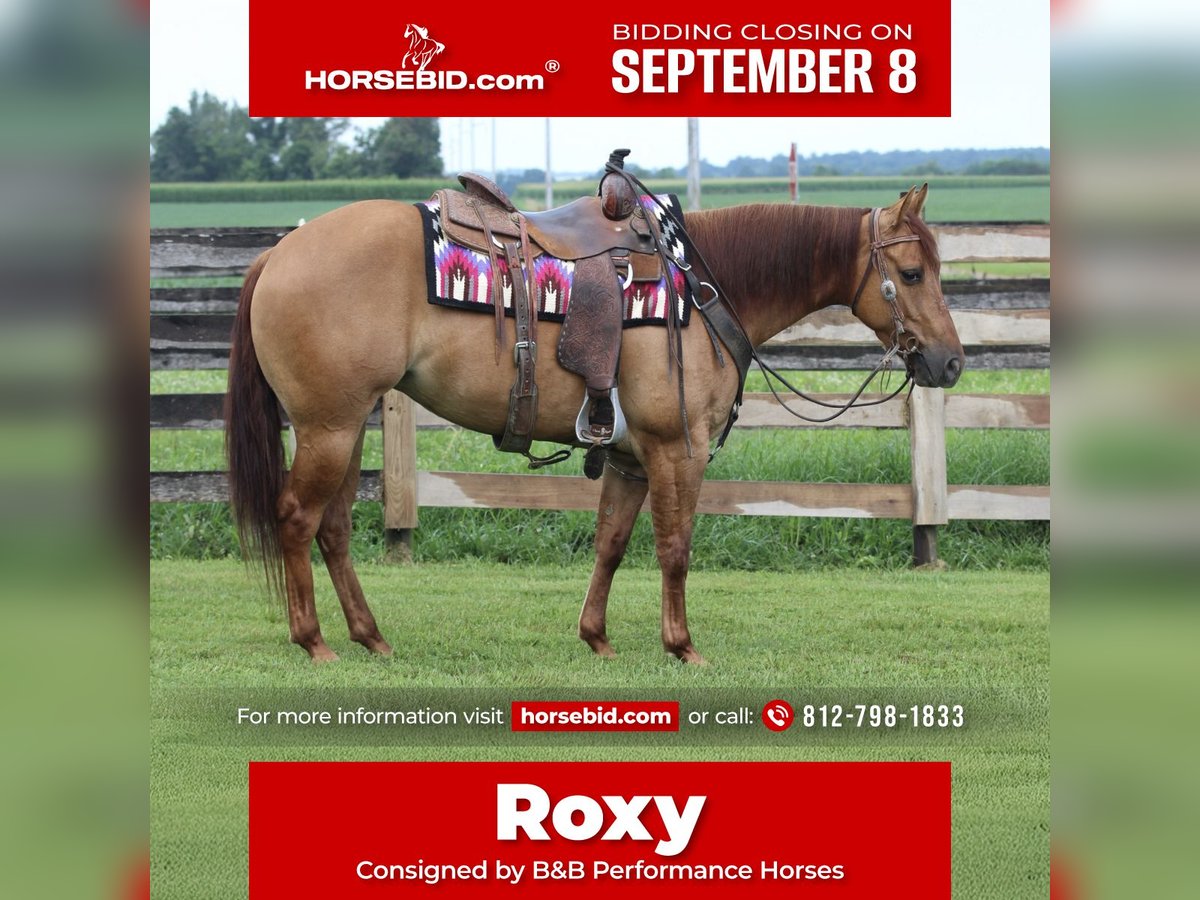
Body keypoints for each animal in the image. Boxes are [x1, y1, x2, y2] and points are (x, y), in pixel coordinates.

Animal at [225, 184, 964, 664]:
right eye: (911, 272)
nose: (952, 362)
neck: (702, 289)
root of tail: (279, 253)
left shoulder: (630, 457)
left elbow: (611, 542)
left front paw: (598, 637)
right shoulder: (676, 450)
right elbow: (674, 548)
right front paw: (681, 646)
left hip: (350, 425)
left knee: (334, 528)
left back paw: (370, 636)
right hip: (328, 427)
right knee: (297, 518)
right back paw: (314, 641)